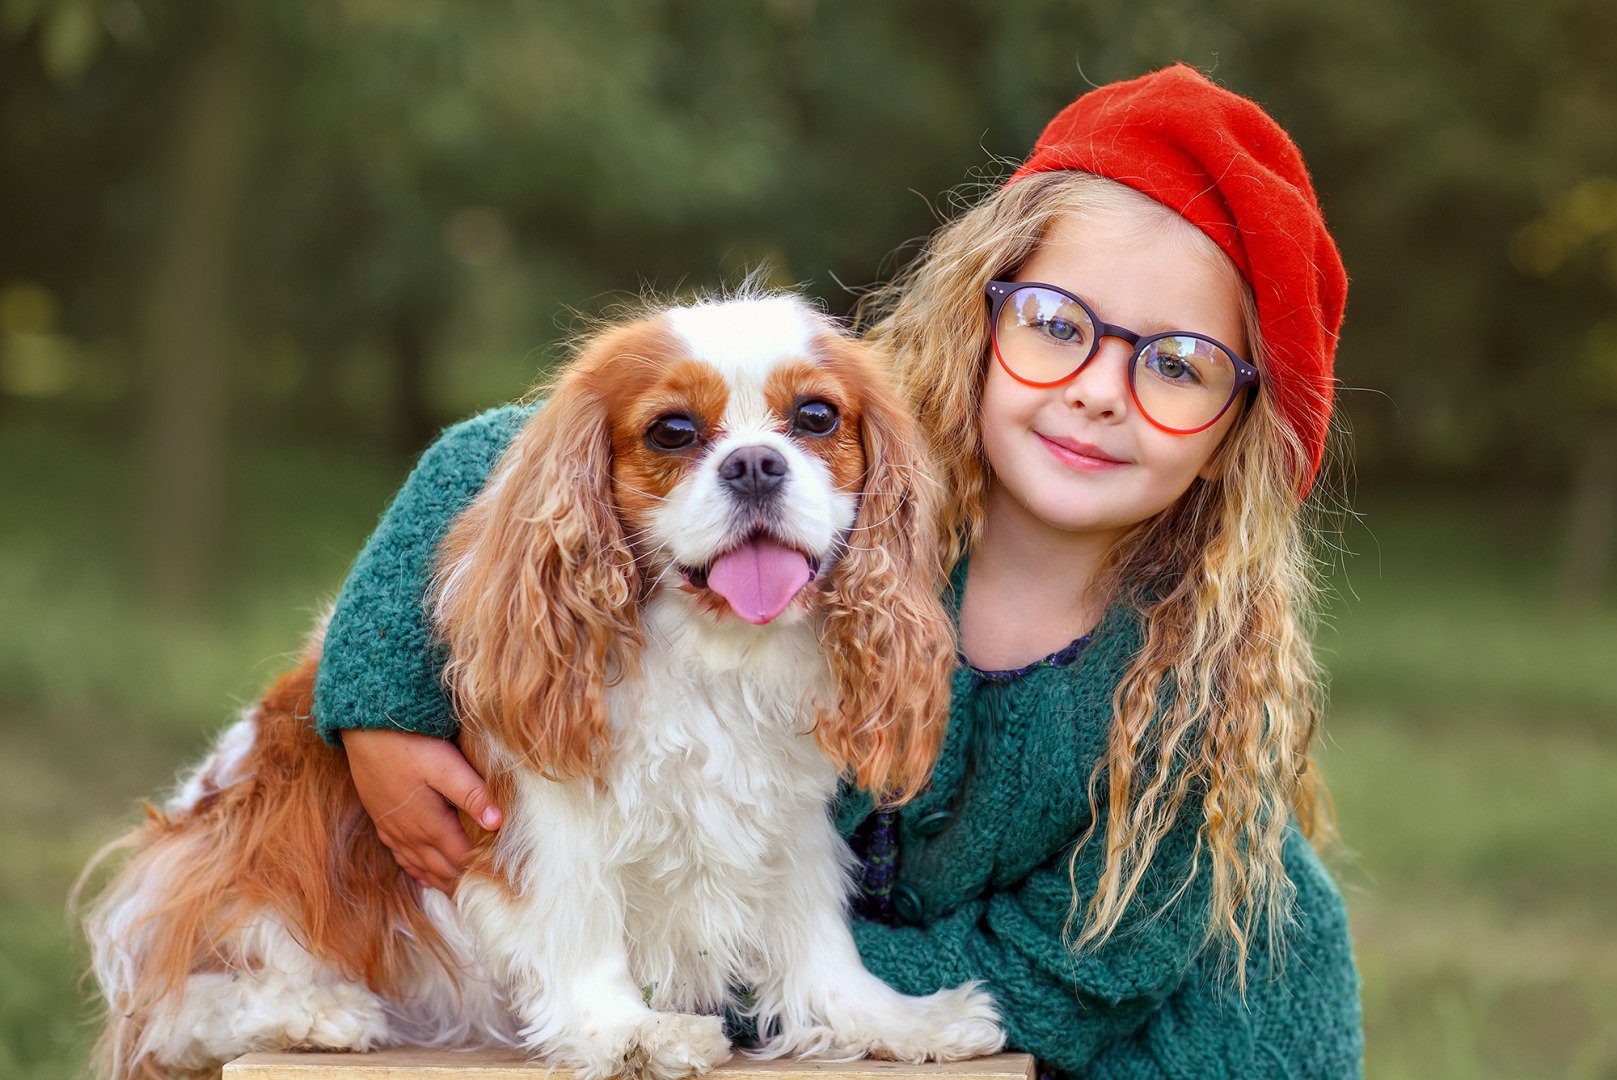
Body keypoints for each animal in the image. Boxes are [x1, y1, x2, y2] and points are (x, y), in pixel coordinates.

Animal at [85, 295, 1009, 1080]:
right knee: (175, 1010)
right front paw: (631, 1033)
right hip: (251, 860)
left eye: (816, 418)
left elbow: (816, 942)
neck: (712, 651)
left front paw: (893, 1023)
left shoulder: (786, 821)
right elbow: (579, 927)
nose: (753, 463)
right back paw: (315, 1014)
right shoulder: (542, 819)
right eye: (672, 431)